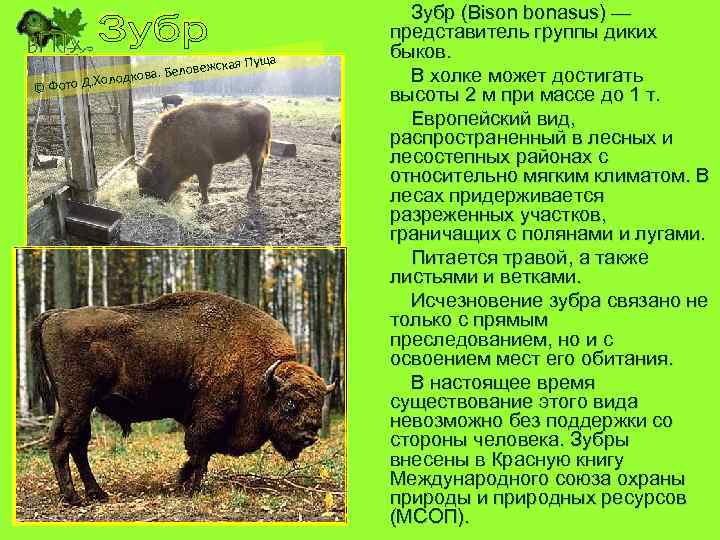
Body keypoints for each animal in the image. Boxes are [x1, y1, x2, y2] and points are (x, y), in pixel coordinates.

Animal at [32, 292, 334, 506]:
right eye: (290, 403)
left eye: (319, 402)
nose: (309, 436)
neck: (261, 376)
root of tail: (55, 315)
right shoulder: (209, 416)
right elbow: (199, 450)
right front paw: (188, 486)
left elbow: (203, 453)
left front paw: (185, 483)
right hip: (76, 402)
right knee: (60, 443)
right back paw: (73, 498)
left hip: (82, 405)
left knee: (78, 445)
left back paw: (98, 494)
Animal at [136, 101, 271, 203]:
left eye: (152, 181)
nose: (144, 196)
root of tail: (266, 109)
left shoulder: (204, 166)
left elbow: (203, 184)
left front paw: (205, 201)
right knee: (261, 164)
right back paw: (258, 186)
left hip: (255, 149)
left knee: (255, 168)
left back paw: (251, 192)